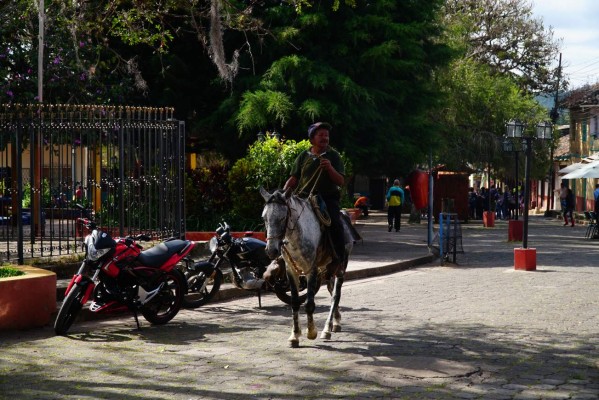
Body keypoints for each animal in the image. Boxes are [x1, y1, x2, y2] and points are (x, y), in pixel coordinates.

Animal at [258, 188, 356, 346]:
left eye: (282, 218)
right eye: (264, 218)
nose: (271, 250)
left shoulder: (311, 269)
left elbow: (309, 303)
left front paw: (311, 332)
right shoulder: (291, 271)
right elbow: (295, 302)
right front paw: (294, 335)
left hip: (341, 265)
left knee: (336, 295)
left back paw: (327, 328)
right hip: (327, 267)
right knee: (331, 290)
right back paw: (336, 322)